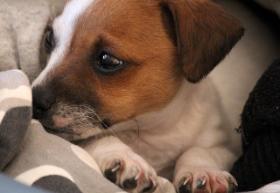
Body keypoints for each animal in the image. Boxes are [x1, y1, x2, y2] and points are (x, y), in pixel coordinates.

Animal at [32, 0, 278, 193]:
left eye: (107, 60)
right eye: (49, 39)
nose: (34, 102)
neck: (150, 129)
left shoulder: (229, 148)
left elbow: (199, 150)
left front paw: (204, 171)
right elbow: (99, 137)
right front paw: (124, 158)